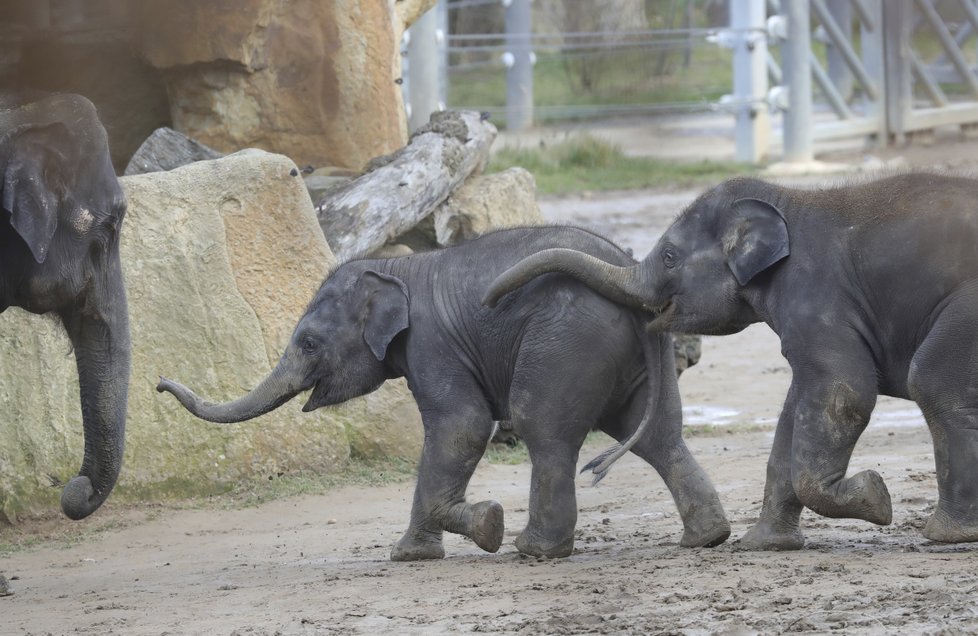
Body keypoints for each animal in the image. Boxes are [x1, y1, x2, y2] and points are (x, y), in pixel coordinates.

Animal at [156, 226, 728, 560]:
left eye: (309, 343)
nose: (159, 382)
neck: (394, 268)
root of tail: (631, 281)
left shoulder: (431, 345)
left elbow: (463, 426)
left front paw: (478, 529)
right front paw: (424, 549)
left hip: (568, 340)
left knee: (541, 426)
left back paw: (533, 550)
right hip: (636, 355)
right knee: (658, 435)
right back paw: (707, 538)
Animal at [484, 174, 976, 552]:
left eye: (669, 257)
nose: (491, 300)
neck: (787, 200)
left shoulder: (816, 300)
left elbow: (843, 393)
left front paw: (877, 498)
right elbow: (793, 414)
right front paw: (764, 545)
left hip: (966, 307)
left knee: (931, 383)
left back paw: (947, 535)